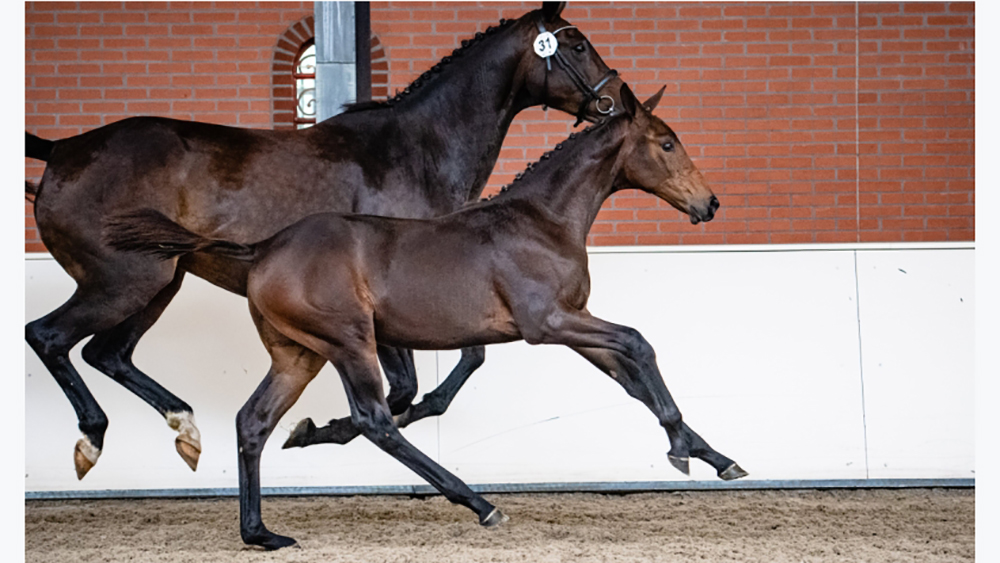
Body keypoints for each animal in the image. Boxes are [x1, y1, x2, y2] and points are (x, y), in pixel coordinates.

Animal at [24, 1, 624, 480]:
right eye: (575, 43)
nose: (618, 101)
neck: (415, 150)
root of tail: (63, 150)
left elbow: (454, 368)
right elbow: (410, 388)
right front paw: (324, 429)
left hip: (160, 282)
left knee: (107, 353)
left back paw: (186, 432)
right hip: (124, 280)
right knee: (49, 337)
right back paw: (91, 439)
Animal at [104, 84, 747, 550]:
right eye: (666, 143)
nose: (709, 203)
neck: (541, 221)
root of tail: (263, 248)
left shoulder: (574, 321)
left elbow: (632, 378)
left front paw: (716, 457)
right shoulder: (547, 324)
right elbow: (639, 344)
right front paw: (683, 449)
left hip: (299, 354)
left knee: (254, 422)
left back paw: (262, 530)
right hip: (349, 341)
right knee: (374, 420)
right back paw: (480, 503)